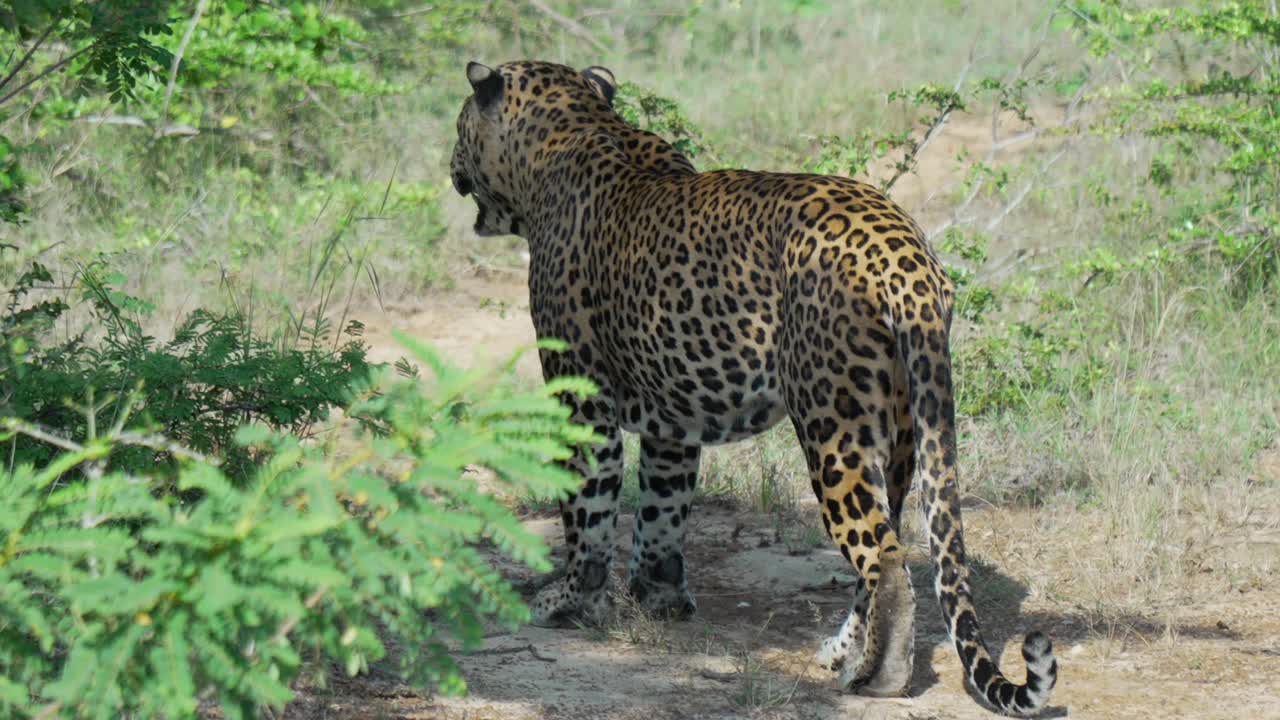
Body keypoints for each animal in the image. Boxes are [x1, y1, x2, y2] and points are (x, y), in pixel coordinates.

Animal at [449, 60, 1057, 716]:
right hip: (897, 432)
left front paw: (569, 601)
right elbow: (662, 508)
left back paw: (878, 677)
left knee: (886, 556)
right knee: (882, 546)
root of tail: (905, 256)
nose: (449, 163)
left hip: (832, 422)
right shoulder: (672, 412)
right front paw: (659, 597)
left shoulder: (582, 398)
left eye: (458, 125)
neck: (570, 132)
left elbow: (587, 508)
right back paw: (844, 652)